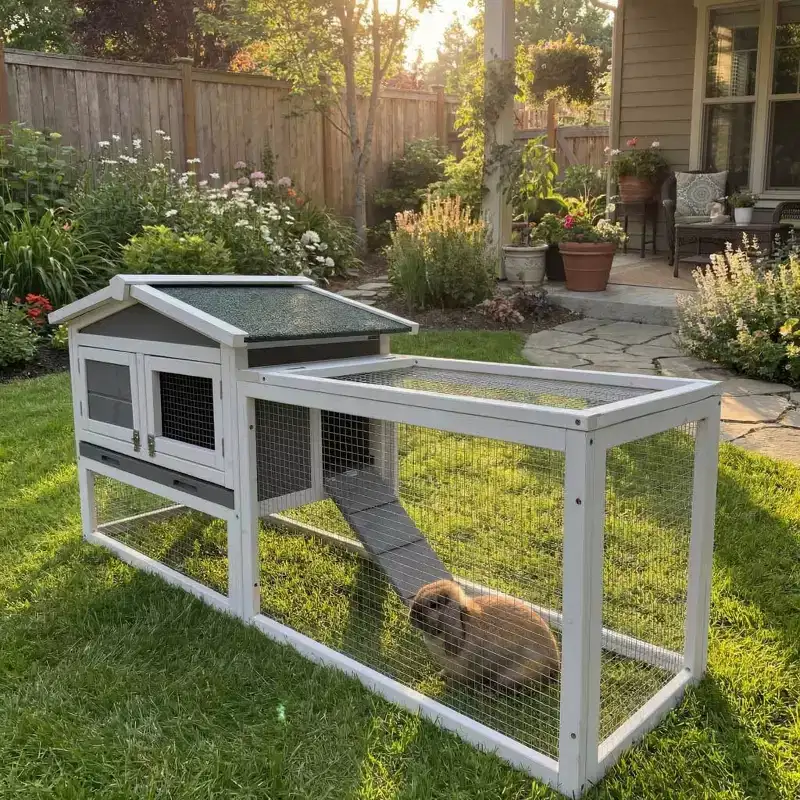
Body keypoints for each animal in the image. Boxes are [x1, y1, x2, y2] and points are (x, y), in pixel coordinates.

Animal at [409, 579, 560, 691]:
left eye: (433, 605)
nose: (411, 617)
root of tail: (555, 665)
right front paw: (439, 674)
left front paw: (448, 685)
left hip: (514, 674)